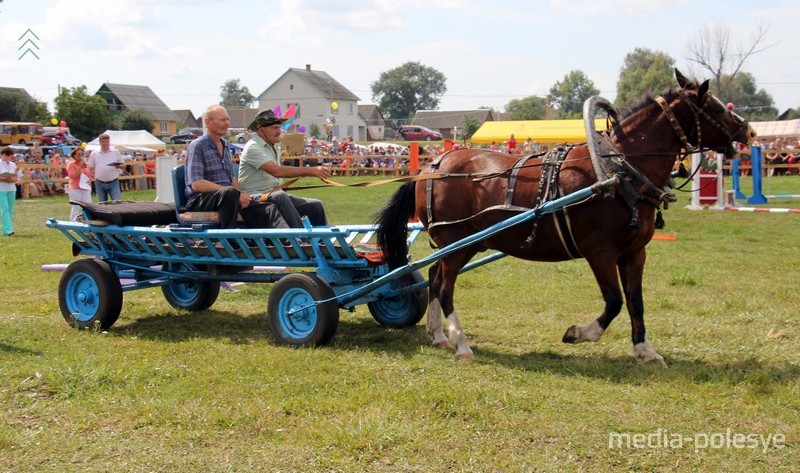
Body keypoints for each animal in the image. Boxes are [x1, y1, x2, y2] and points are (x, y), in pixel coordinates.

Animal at [378, 70, 752, 364]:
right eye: (714, 106)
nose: (748, 132)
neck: (619, 172)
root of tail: (433, 164)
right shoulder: (599, 252)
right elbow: (614, 302)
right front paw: (578, 333)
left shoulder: (635, 253)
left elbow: (636, 302)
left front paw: (645, 351)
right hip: (455, 242)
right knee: (445, 287)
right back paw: (461, 343)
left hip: (466, 244)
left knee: (434, 277)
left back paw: (439, 335)